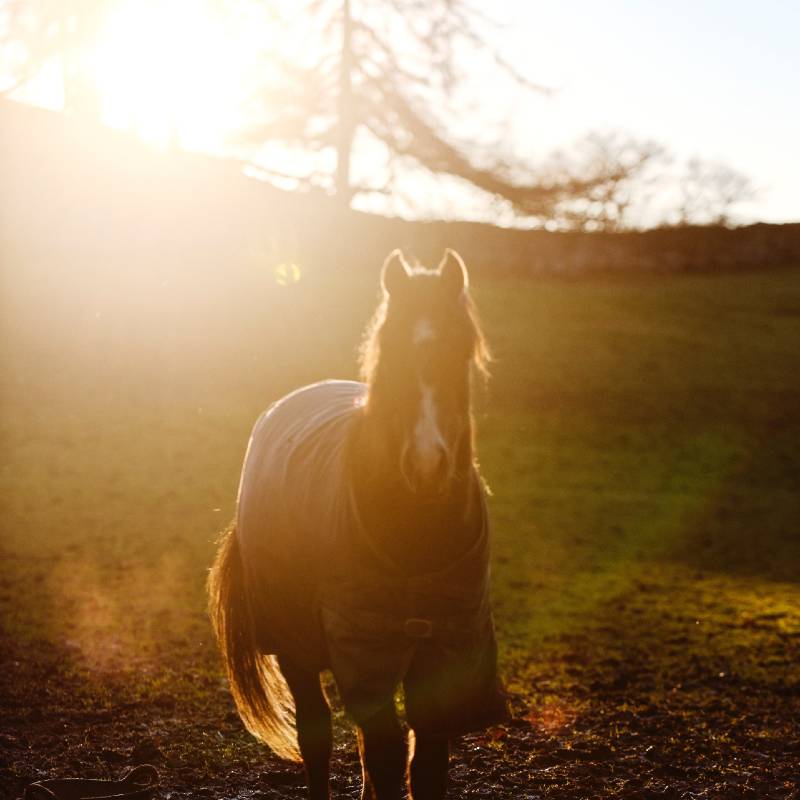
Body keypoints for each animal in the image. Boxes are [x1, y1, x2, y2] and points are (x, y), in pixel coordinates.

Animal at [206, 250, 506, 800]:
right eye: (389, 356)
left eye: (460, 353)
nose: (427, 465)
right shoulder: (362, 655)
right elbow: (385, 754)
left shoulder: (446, 652)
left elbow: (425, 764)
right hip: (296, 647)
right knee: (317, 735)